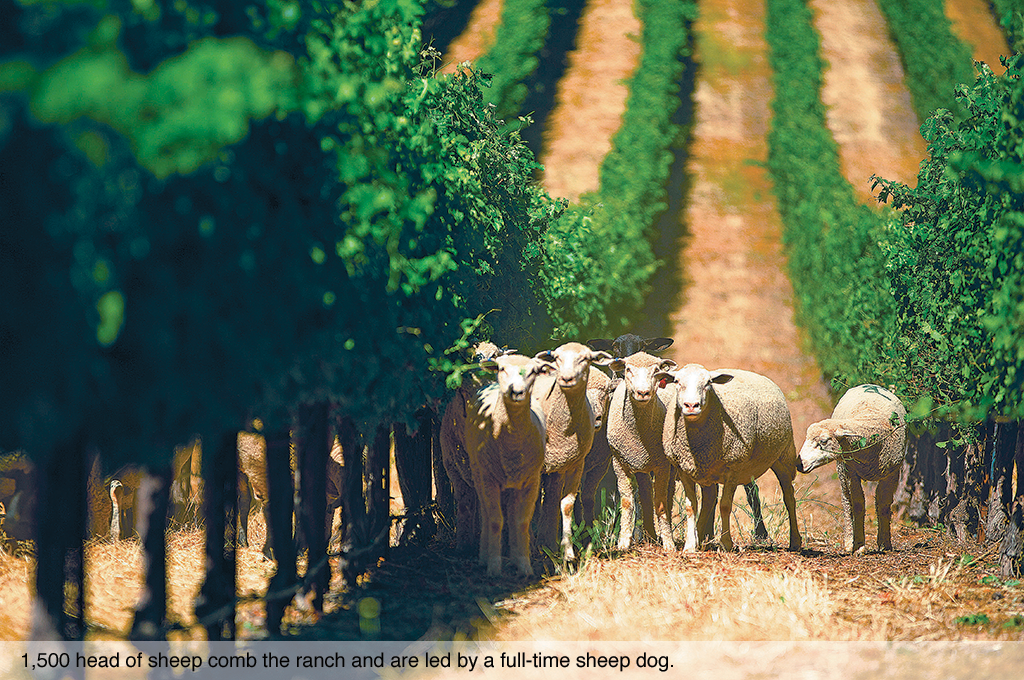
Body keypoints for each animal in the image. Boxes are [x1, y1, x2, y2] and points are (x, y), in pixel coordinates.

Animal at [468, 352, 557, 577]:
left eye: (534, 371)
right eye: (502, 369)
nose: (516, 392)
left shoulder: (532, 481)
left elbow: (521, 522)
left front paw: (525, 565)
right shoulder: (488, 479)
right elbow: (495, 521)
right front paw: (493, 566)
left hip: (515, 482)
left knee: (512, 513)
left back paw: (516, 557)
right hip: (477, 470)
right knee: (485, 512)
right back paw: (484, 556)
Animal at [532, 342, 610, 561]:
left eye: (585, 359)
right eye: (557, 357)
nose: (566, 379)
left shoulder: (576, 463)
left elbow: (566, 504)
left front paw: (567, 551)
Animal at [606, 352, 679, 548]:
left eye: (657, 371)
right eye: (628, 369)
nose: (643, 393)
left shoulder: (662, 464)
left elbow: (660, 503)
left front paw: (668, 543)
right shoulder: (619, 463)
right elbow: (628, 502)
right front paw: (623, 541)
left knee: (667, 496)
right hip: (640, 465)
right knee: (644, 496)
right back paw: (646, 535)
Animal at [659, 364, 802, 548]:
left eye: (708, 383)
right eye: (677, 381)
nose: (691, 405)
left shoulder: (733, 467)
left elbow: (725, 506)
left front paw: (726, 543)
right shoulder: (683, 469)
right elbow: (691, 507)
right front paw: (690, 545)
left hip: (784, 456)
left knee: (789, 497)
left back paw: (795, 541)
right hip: (711, 469)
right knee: (711, 497)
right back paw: (701, 536)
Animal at [794, 383, 909, 553]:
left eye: (824, 441)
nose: (799, 463)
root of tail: (867, 384)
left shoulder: (892, 472)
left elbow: (883, 504)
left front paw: (884, 543)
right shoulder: (851, 472)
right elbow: (858, 505)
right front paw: (859, 545)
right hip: (842, 468)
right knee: (846, 501)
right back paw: (849, 541)